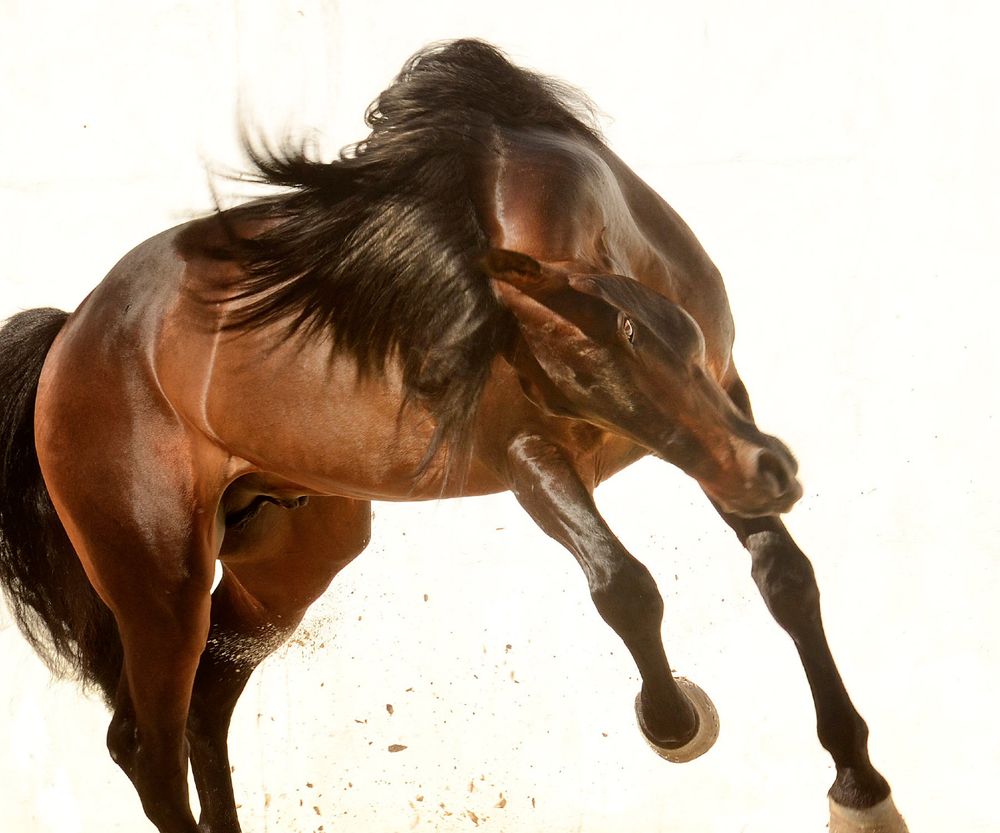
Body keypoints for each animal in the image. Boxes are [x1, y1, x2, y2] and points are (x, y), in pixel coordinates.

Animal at [0, 40, 907, 833]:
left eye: (670, 332)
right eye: (572, 366)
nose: (771, 471)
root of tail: (74, 333)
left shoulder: (721, 397)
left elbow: (784, 577)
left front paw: (859, 786)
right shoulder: (534, 461)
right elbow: (624, 585)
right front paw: (674, 721)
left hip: (291, 556)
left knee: (207, 705)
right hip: (159, 583)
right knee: (145, 746)